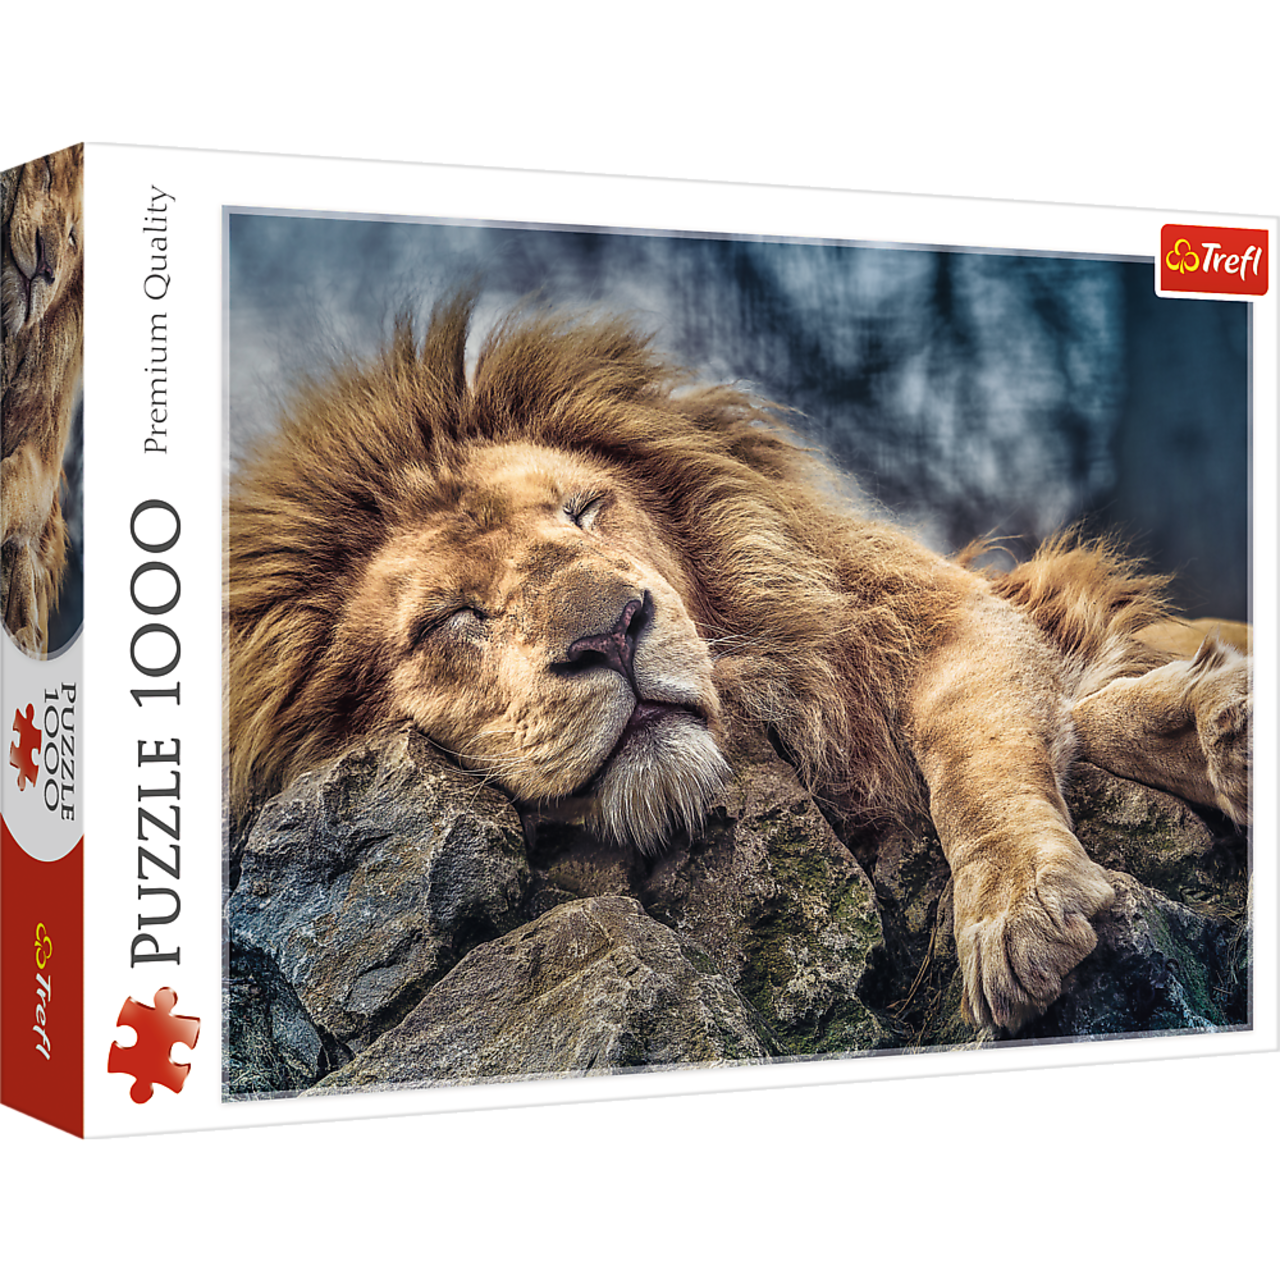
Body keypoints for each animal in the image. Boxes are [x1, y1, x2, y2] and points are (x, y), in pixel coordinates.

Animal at [227, 293, 1251, 1033]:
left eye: (584, 511)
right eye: (452, 619)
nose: (611, 632)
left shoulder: (941, 617)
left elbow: (978, 755)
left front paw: (1021, 907)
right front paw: (1209, 725)